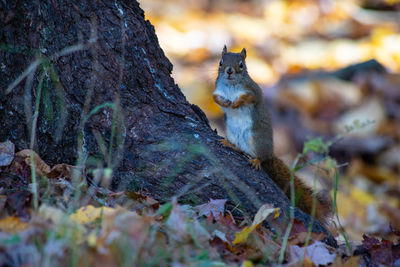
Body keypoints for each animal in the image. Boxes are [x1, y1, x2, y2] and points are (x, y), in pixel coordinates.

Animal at [214, 45, 330, 224]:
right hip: (234, 135)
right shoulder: (217, 89)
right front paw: (225, 102)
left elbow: (249, 97)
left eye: (241, 65)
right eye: (221, 62)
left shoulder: (253, 90)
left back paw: (256, 160)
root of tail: (270, 154)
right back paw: (229, 144)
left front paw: (236, 102)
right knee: (239, 147)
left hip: (257, 140)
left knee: (260, 156)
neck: (231, 86)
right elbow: (216, 98)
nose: (229, 71)